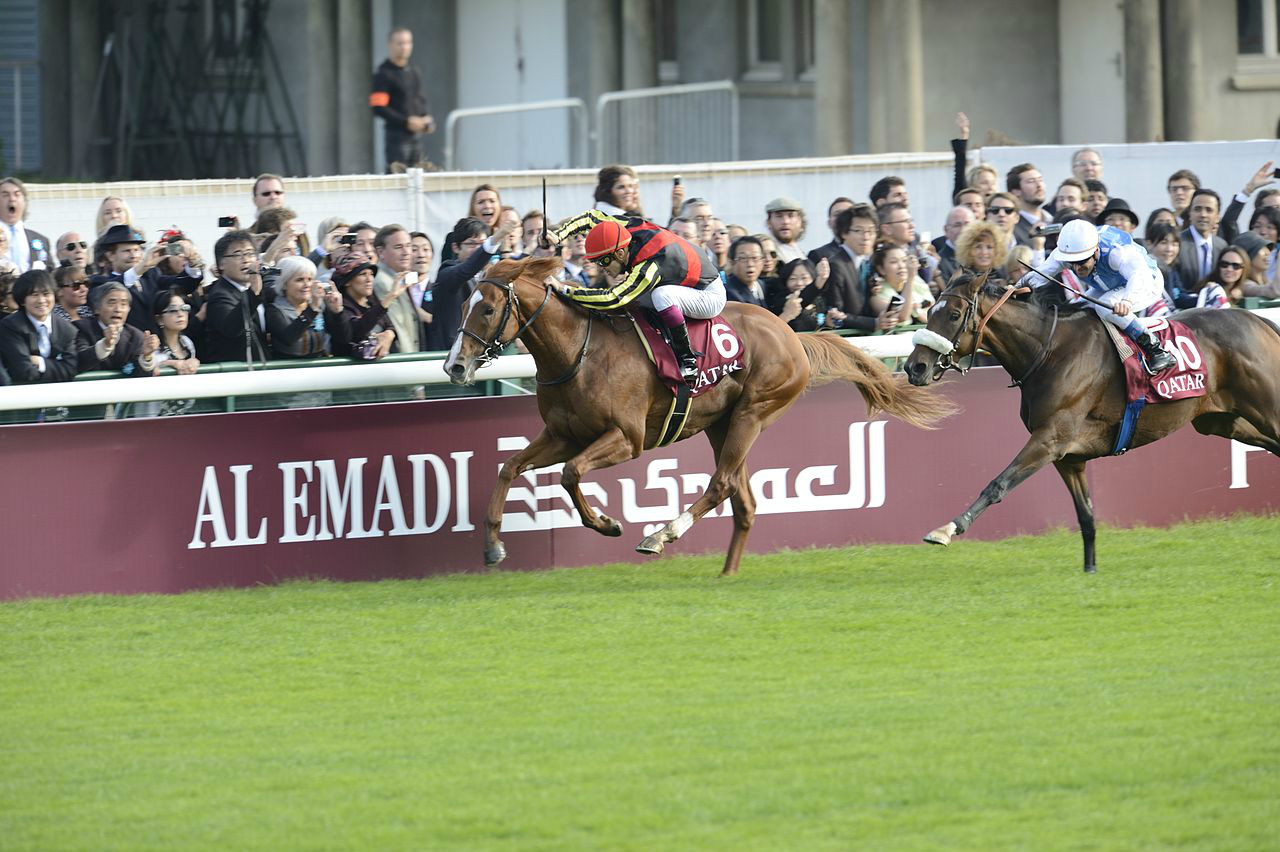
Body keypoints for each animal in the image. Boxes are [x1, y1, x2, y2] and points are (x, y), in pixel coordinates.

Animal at [445, 255, 957, 573]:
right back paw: (725, 574)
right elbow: (509, 466)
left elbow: (571, 475)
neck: (578, 352)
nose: (454, 366)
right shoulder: (562, 434)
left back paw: (660, 535)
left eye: (487, 308)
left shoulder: (626, 438)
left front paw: (608, 524)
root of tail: (791, 333)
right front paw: (493, 545)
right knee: (744, 502)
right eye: (465, 303)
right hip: (721, 425)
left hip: (753, 411)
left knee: (723, 484)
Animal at [901, 272, 1280, 573]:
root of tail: (1258, 320)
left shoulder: (1049, 439)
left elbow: (998, 484)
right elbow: (1085, 515)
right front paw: (1090, 569)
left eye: (953, 314)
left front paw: (947, 529)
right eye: (929, 311)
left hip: (1265, 408)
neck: (1050, 352)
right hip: (1221, 421)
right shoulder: (1068, 456)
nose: (914, 367)